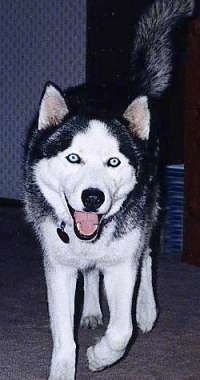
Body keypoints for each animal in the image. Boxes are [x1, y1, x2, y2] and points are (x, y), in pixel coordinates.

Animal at [23, 0, 194, 380]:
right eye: (73, 158)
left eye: (113, 162)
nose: (93, 197)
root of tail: (122, 88)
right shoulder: (59, 266)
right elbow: (64, 337)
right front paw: (65, 367)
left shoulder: (121, 262)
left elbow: (121, 330)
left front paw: (101, 357)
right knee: (90, 272)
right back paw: (89, 310)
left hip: (148, 212)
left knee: (146, 256)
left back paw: (146, 309)